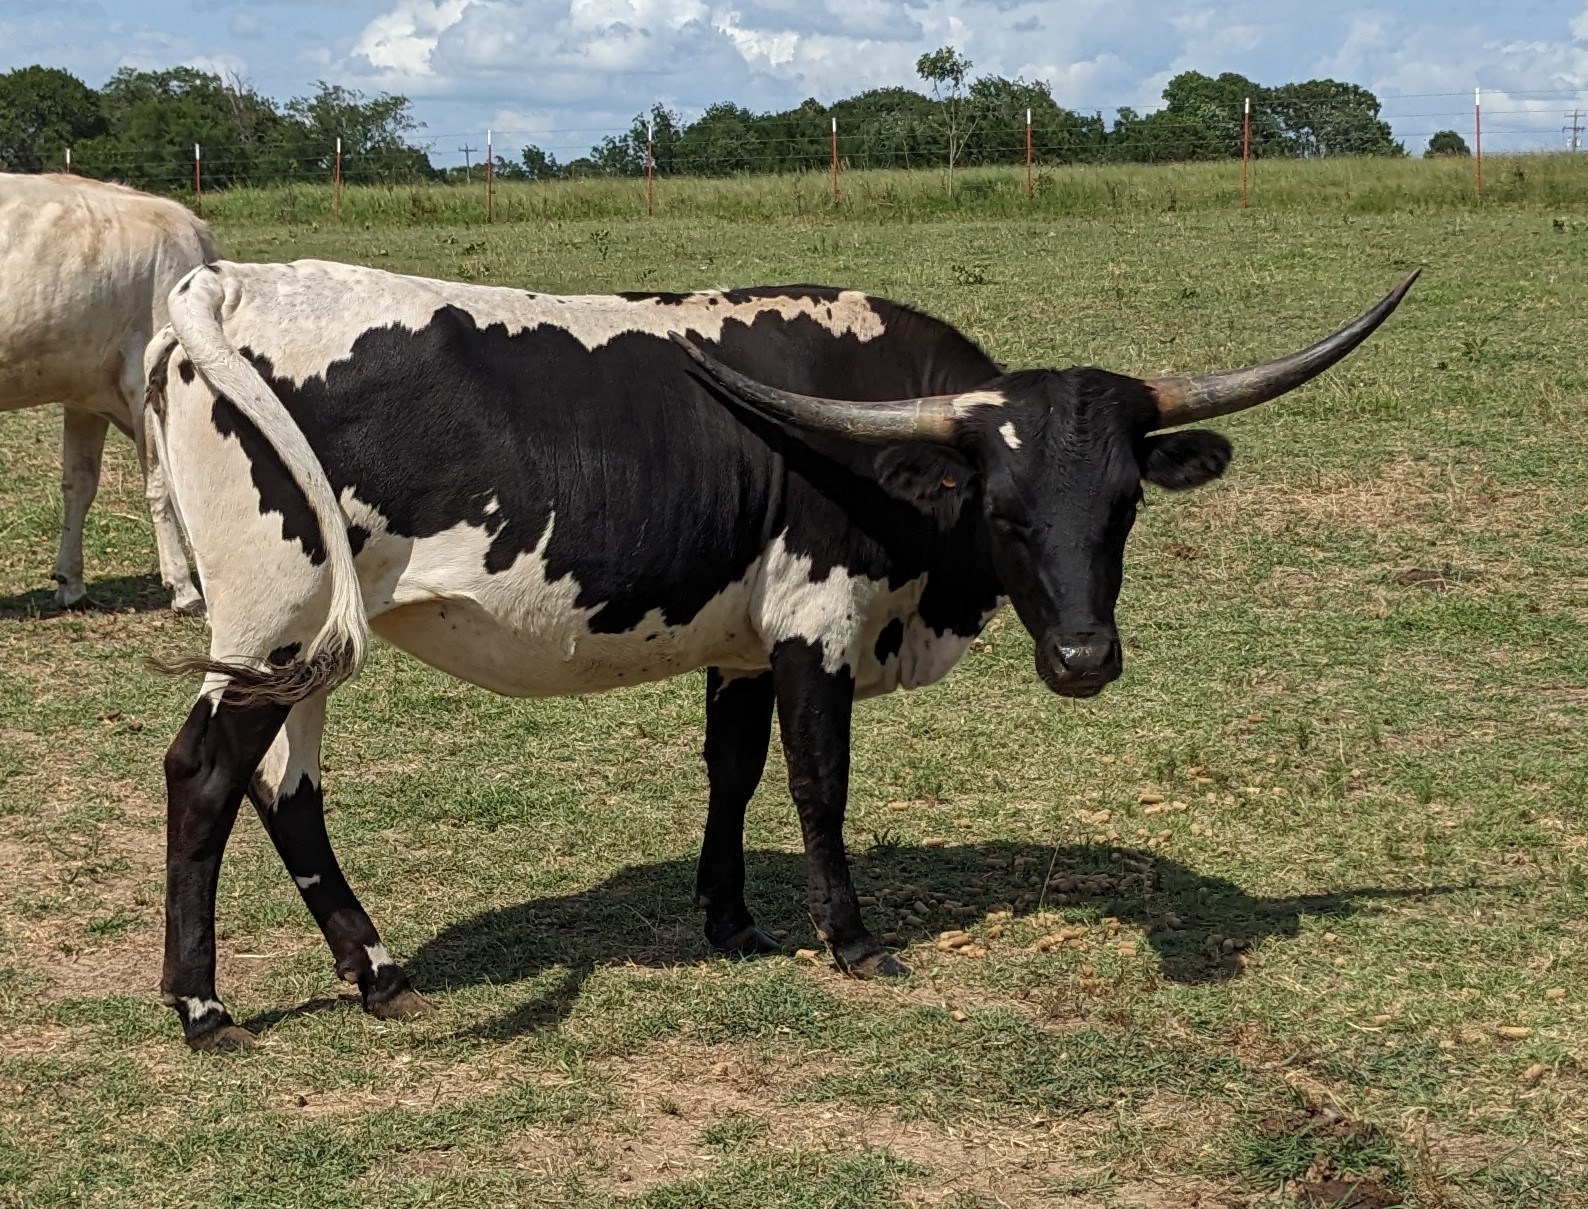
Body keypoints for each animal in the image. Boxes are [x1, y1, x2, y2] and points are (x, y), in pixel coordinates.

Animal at [0, 172, 209, 612]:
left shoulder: (85, 396)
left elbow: (78, 485)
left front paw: (70, 581)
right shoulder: (143, 379)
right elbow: (161, 483)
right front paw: (183, 586)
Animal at [142, 258, 1416, 1049]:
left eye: (1123, 506)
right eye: (1003, 510)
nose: (1082, 658)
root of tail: (233, 281)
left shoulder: (745, 645)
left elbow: (733, 772)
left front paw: (730, 921)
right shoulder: (818, 627)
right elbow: (816, 782)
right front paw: (848, 939)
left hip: (306, 644)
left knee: (287, 792)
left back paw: (377, 973)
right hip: (276, 619)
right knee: (205, 776)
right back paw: (202, 1007)